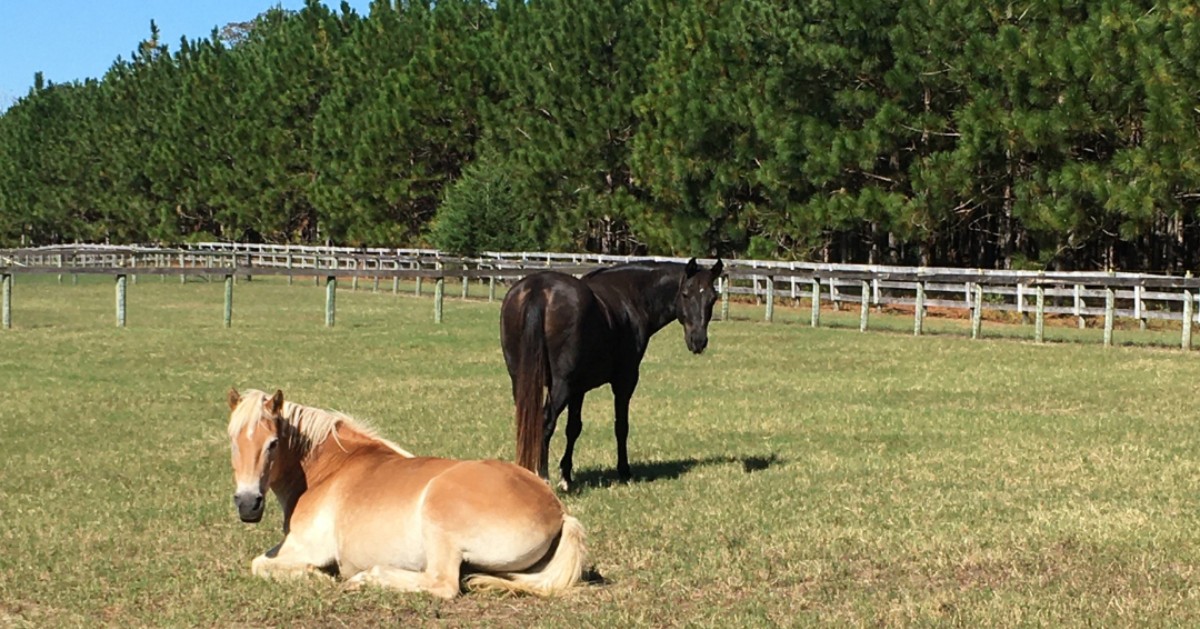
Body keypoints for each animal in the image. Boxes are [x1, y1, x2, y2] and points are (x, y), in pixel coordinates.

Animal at [225, 388, 586, 599]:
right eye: (231, 438)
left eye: (272, 443)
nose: (247, 504)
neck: (329, 469)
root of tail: (558, 511)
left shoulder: (306, 547)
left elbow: (259, 564)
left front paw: (317, 577)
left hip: (439, 524)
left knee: (443, 584)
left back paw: (366, 578)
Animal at [500, 257, 724, 491]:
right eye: (686, 294)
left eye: (713, 298)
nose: (698, 341)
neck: (630, 295)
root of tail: (539, 289)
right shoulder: (624, 382)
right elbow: (621, 426)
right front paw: (624, 471)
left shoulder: (578, 389)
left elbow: (573, 428)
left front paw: (566, 475)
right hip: (560, 386)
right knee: (545, 422)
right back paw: (542, 476)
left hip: (522, 382)